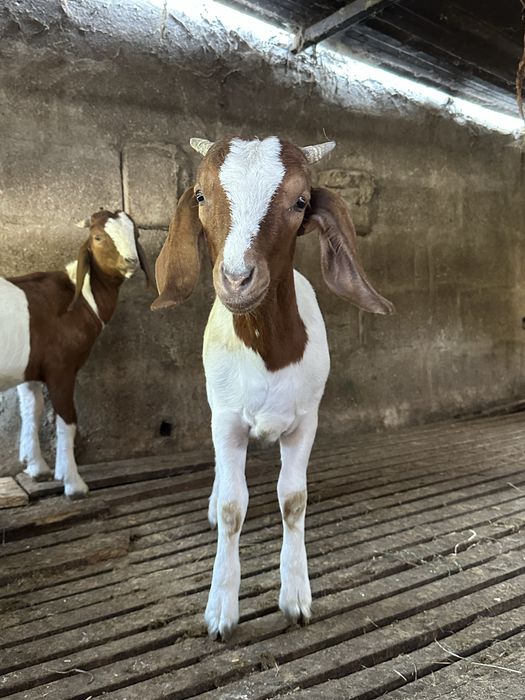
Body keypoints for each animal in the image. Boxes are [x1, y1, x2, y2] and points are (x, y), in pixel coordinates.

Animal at [0, 210, 151, 498]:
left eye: (136, 233)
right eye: (98, 237)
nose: (131, 261)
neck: (79, 298)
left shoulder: (30, 368)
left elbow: (32, 409)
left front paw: (38, 468)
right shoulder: (61, 368)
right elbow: (67, 421)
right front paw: (73, 483)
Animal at [153, 136, 393, 639]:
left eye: (300, 202)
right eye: (200, 196)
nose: (237, 279)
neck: (268, 349)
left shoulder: (305, 423)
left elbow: (293, 499)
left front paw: (296, 596)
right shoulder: (226, 421)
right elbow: (232, 507)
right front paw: (221, 610)